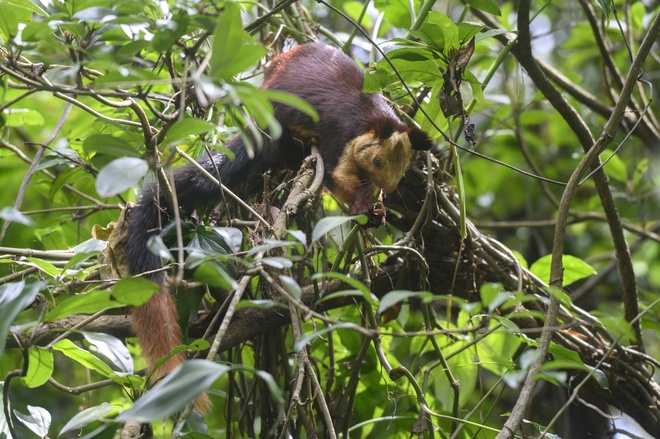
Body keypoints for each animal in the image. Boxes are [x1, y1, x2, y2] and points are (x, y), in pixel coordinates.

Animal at [125, 42, 433, 411]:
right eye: (377, 160)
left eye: (402, 170)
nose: (388, 186)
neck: (373, 120)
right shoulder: (341, 136)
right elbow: (337, 176)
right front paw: (362, 207)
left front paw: (380, 207)